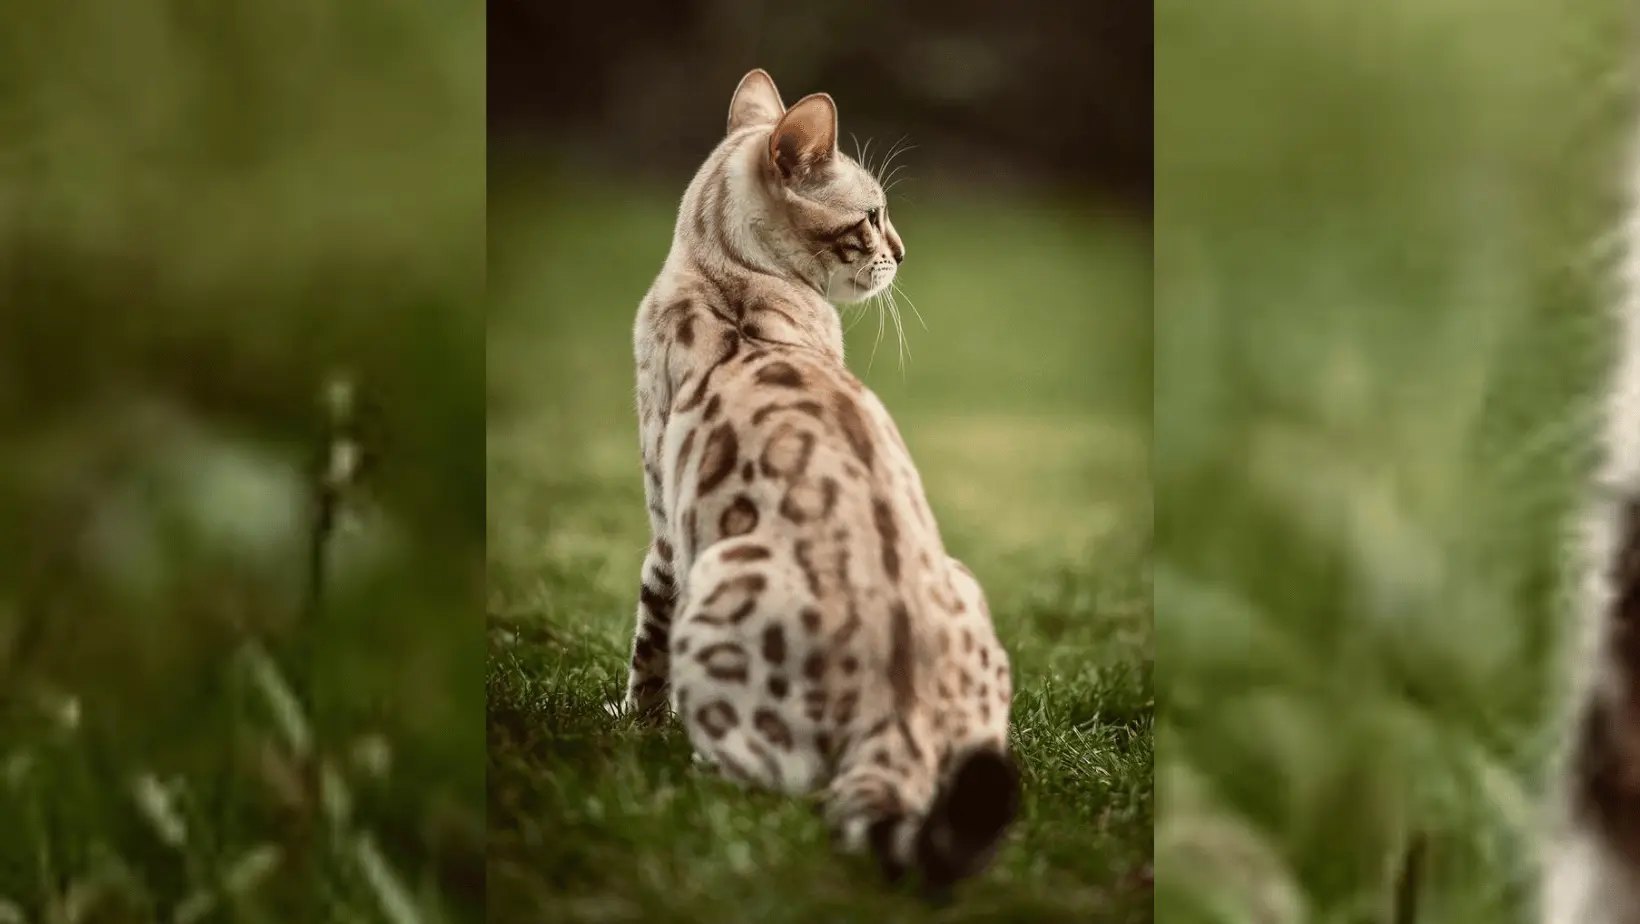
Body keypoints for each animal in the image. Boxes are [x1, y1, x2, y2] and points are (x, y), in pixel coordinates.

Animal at [616, 68, 1016, 892]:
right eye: (872, 217)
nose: (904, 251)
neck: (728, 279)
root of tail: (900, 716)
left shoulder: (666, 537)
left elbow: (645, 653)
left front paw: (633, 727)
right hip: (963, 584)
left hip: (719, 579)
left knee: (769, 788)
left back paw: (691, 768)